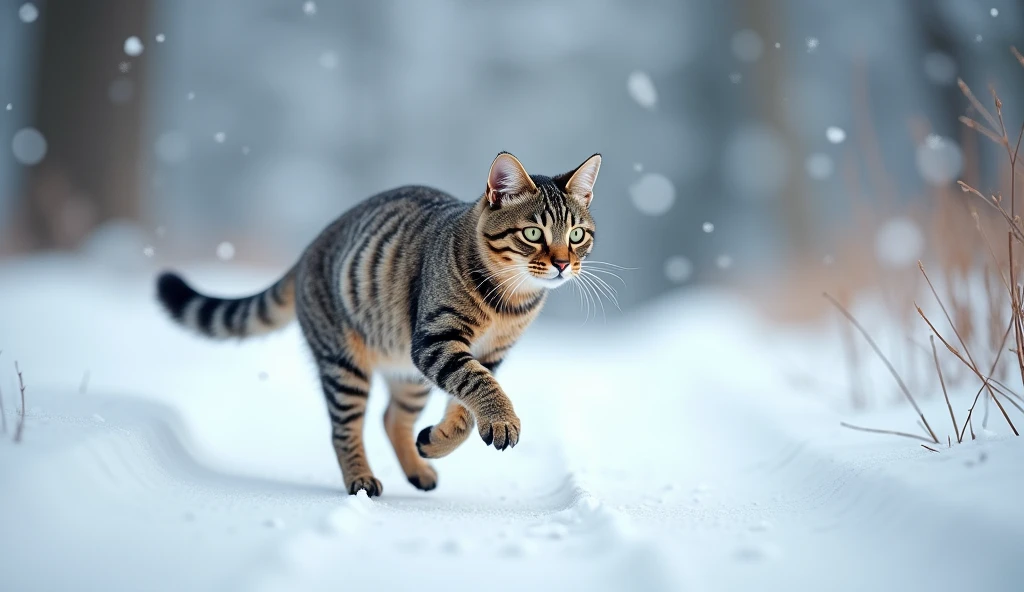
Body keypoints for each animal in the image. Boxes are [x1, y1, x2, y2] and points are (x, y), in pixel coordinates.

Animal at [153, 151, 598, 493]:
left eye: (576, 235)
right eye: (533, 233)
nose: (563, 263)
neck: (510, 302)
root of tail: (309, 249)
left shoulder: (489, 354)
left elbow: (466, 410)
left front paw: (442, 439)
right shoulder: (439, 341)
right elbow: (478, 386)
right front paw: (502, 419)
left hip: (409, 374)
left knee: (391, 418)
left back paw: (419, 466)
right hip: (344, 365)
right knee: (344, 430)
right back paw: (361, 479)